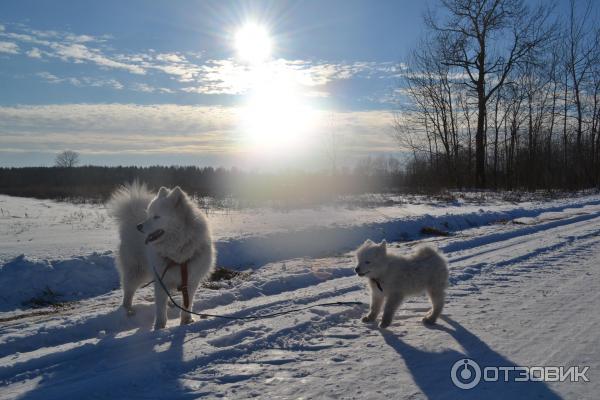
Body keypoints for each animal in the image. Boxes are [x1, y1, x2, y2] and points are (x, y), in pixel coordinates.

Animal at [108, 181, 216, 328]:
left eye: (156, 217)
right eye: (149, 215)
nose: (139, 227)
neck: (178, 252)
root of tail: (132, 217)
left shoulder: (191, 281)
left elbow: (187, 304)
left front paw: (186, 320)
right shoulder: (161, 279)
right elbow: (160, 307)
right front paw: (159, 326)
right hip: (136, 271)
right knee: (128, 292)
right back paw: (127, 310)